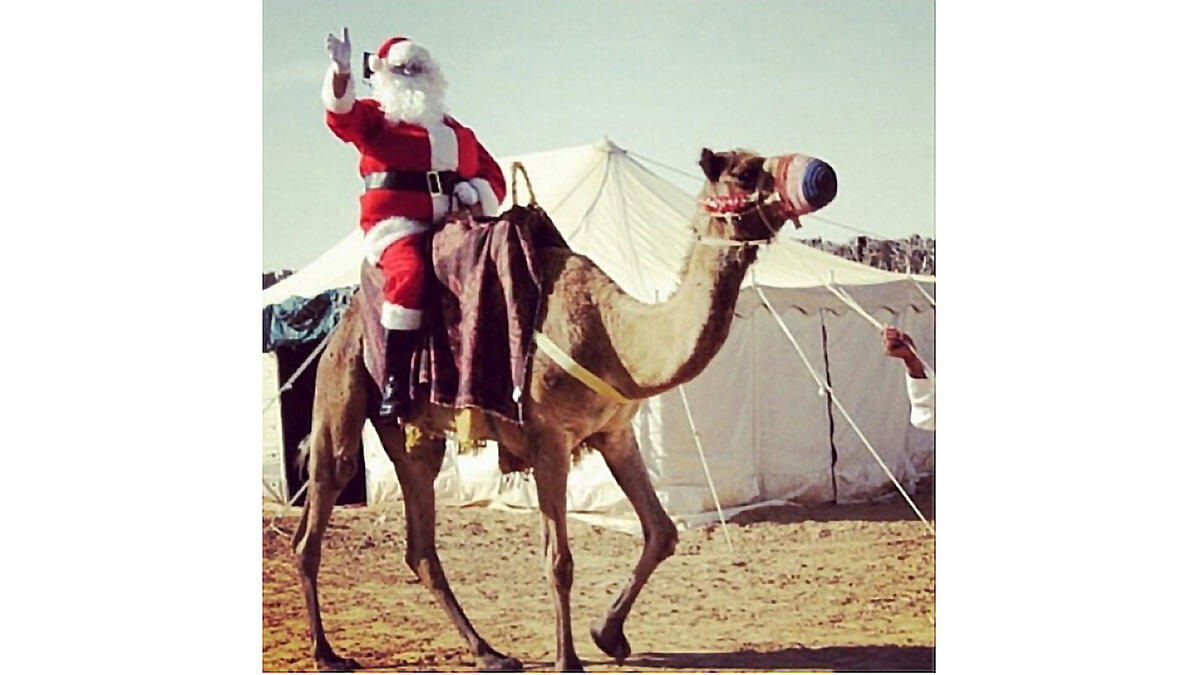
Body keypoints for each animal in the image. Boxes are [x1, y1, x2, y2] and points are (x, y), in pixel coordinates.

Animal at [290, 147, 837, 671]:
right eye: (744, 171)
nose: (820, 176)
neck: (615, 336)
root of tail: (341, 324)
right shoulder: (548, 441)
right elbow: (559, 559)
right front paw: (569, 658)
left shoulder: (616, 432)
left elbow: (662, 532)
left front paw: (608, 635)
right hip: (340, 385)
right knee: (325, 496)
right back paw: (326, 653)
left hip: (411, 432)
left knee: (420, 542)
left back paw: (490, 654)